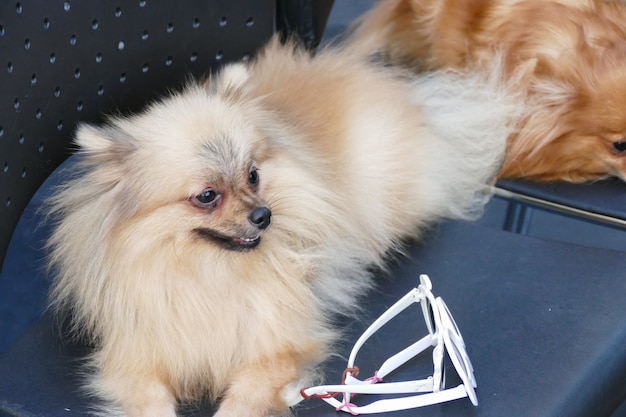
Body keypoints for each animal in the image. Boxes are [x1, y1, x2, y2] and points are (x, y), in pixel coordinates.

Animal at [46, 37, 516, 414]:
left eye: (253, 175)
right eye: (207, 196)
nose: (263, 215)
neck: (207, 275)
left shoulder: (276, 349)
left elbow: (244, 398)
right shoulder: (137, 359)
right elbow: (149, 402)